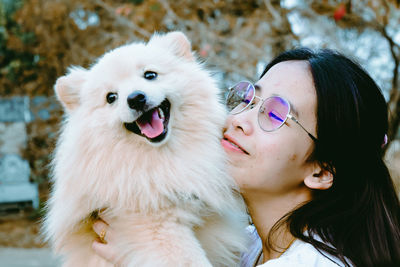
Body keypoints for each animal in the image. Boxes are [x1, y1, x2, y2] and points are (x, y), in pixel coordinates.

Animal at [44, 31, 250, 267]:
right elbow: (189, 259)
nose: (135, 98)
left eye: (150, 75)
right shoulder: (151, 222)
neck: (162, 158)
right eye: (111, 97)